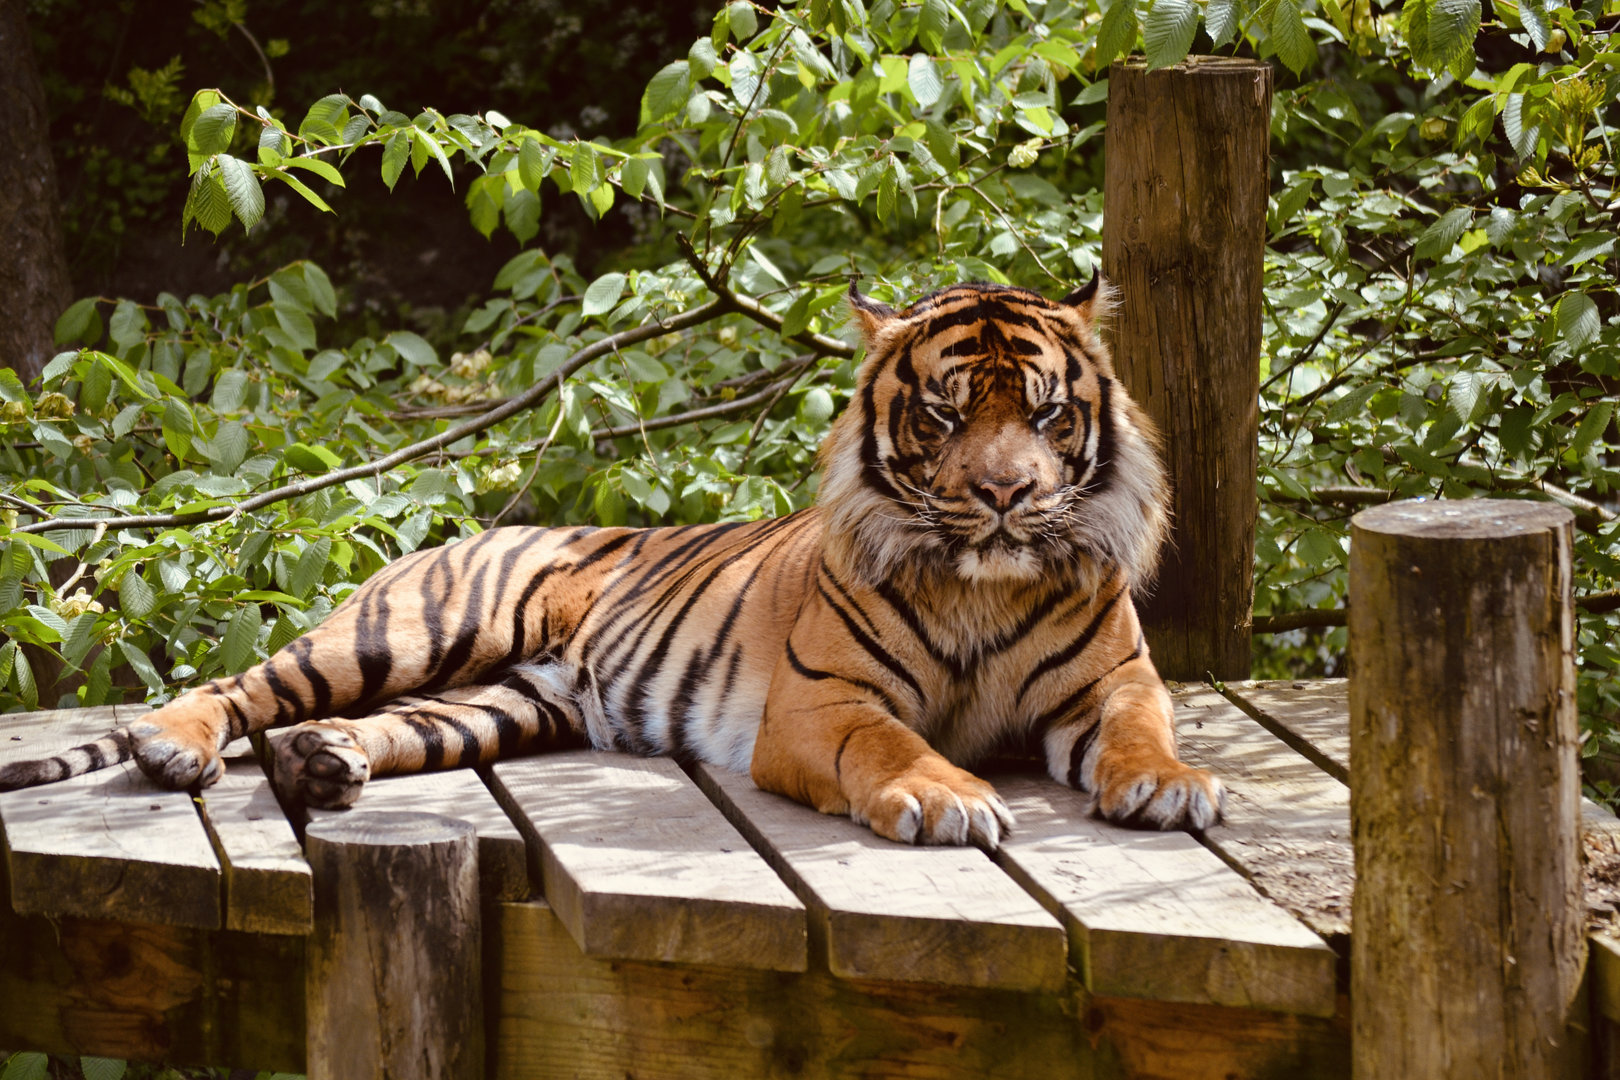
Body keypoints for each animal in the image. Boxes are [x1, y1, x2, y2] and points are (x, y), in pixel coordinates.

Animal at [0, 279, 1223, 846]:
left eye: (1049, 414)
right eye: (944, 414)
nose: (1008, 494)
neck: (983, 584)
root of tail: (489, 520)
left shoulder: (1114, 681)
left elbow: (1142, 729)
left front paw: (1170, 785)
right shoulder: (824, 704)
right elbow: (889, 742)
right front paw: (946, 797)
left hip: (507, 701)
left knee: (384, 726)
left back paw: (321, 764)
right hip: (410, 629)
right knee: (240, 683)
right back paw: (175, 744)